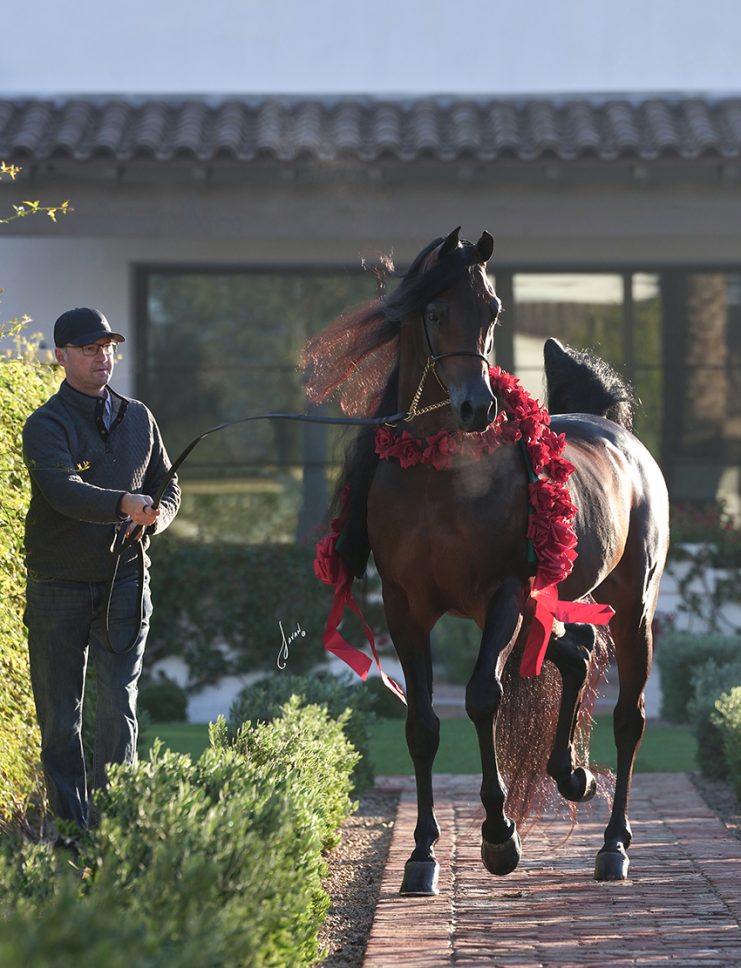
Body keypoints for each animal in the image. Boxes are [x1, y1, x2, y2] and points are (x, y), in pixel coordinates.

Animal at [302, 227, 670, 895]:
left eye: (493, 310)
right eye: (434, 310)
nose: (479, 406)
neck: (437, 480)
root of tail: (612, 428)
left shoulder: (502, 598)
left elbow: (480, 697)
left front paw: (500, 835)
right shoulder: (406, 609)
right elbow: (422, 724)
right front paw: (422, 854)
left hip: (632, 607)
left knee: (629, 717)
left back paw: (614, 844)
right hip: (551, 602)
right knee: (576, 655)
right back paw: (571, 774)